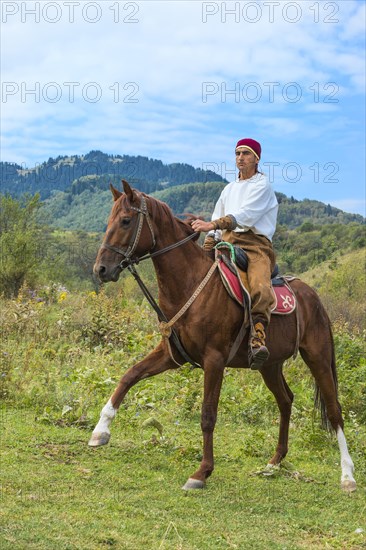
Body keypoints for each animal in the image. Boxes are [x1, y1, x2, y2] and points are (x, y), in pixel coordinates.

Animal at [90, 181, 356, 496]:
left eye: (126, 221)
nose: (101, 269)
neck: (190, 282)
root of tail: (313, 296)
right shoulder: (171, 355)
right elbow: (128, 376)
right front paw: (100, 430)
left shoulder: (214, 360)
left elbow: (208, 415)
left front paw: (202, 472)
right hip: (269, 365)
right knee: (286, 400)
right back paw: (275, 462)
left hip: (318, 357)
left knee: (334, 410)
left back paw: (347, 476)